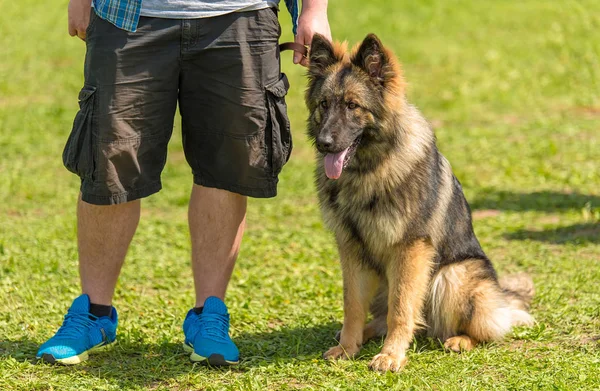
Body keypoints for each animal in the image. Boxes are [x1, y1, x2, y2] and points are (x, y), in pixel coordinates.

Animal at [304, 34, 536, 374]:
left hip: (450, 277)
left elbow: (401, 308)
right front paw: (347, 347)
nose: (324, 143)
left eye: (352, 105)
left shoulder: (410, 249)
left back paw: (460, 340)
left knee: (480, 329)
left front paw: (391, 355)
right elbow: (353, 306)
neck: (369, 170)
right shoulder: (351, 249)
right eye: (324, 104)